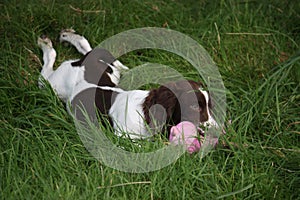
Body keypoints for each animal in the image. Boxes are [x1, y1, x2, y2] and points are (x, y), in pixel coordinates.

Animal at [37, 29, 217, 139]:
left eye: (210, 107)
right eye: (194, 107)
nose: (217, 132)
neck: (145, 114)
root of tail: (83, 63)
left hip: (110, 72)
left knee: (88, 47)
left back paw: (69, 37)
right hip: (54, 85)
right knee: (46, 70)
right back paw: (46, 44)